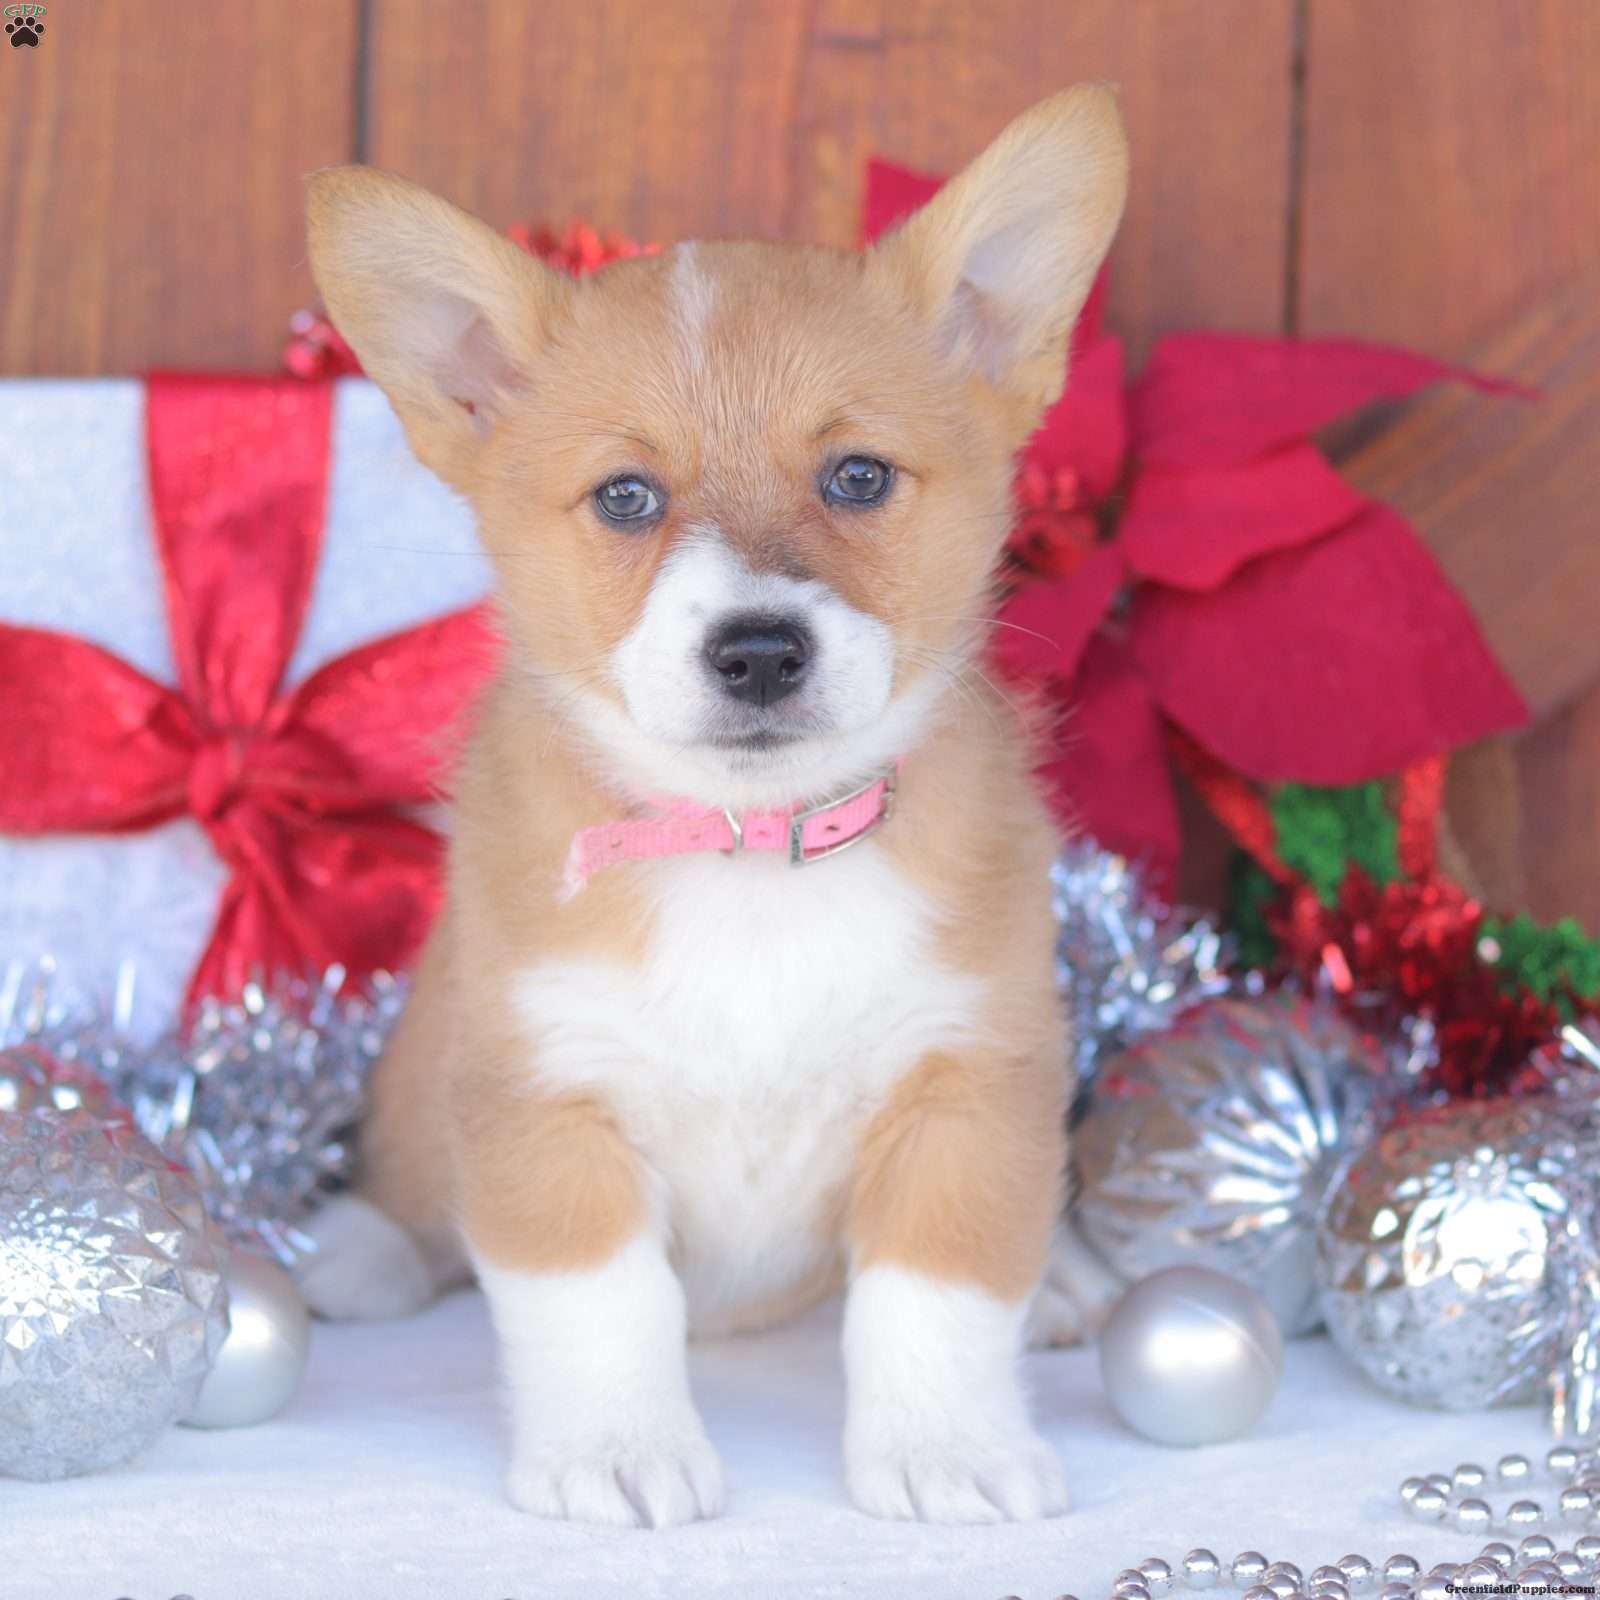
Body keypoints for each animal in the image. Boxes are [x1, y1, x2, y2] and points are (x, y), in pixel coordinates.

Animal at [298, 84, 1129, 1529]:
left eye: (858, 476)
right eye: (626, 496)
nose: (756, 652)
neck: (751, 855)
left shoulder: (968, 1083)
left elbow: (938, 1297)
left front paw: (947, 1449)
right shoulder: (549, 1092)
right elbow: (600, 1302)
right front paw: (617, 1450)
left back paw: (1072, 1285)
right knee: (406, 1163)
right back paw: (360, 1248)